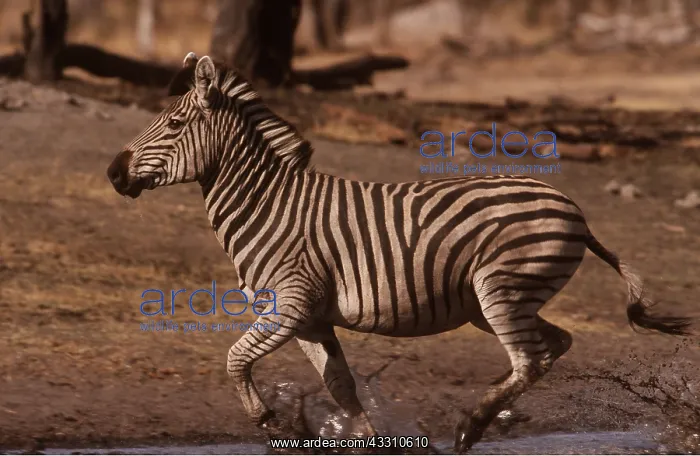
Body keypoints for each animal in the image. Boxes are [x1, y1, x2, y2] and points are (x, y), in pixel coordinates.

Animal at [106, 52, 691, 453]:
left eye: (174, 124)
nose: (113, 172)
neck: (268, 206)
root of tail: (574, 208)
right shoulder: (310, 319)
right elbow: (341, 387)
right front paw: (365, 439)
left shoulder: (291, 303)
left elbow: (234, 358)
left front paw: (266, 419)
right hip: (494, 303)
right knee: (553, 347)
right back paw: (486, 417)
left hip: (500, 290)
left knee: (528, 359)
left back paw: (470, 426)